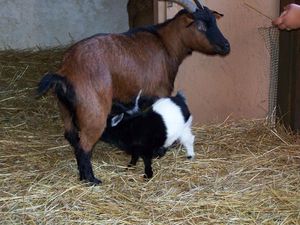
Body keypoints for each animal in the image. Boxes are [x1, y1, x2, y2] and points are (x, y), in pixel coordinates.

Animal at [37, 0, 230, 185]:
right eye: (201, 25)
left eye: (214, 21)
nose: (226, 46)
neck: (164, 44)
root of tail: (66, 71)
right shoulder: (159, 92)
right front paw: (161, 150)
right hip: (94, 112)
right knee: (83, 147)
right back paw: (92, 180)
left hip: (65, 109)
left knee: (71, 136)